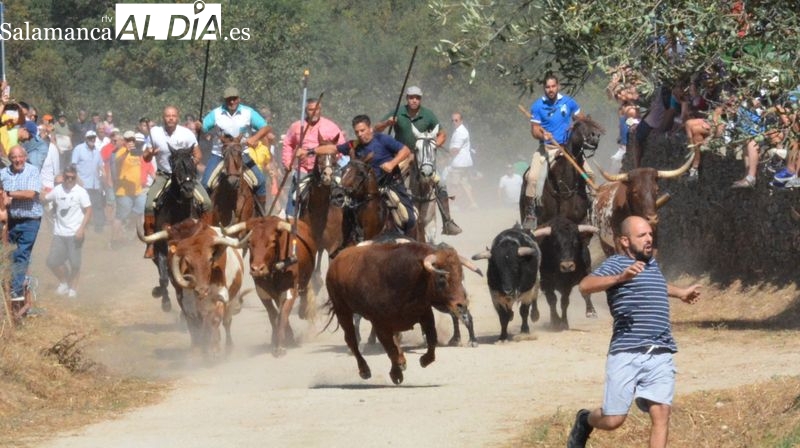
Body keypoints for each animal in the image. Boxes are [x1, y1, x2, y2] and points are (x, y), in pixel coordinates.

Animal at [138, 219, 247, 356]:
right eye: (187, 260)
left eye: (210, 258)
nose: (201, 290)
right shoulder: (184, 301)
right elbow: (193, 325)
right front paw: (196, 350)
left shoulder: (221, 295)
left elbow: (215, 319)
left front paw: (214, 349)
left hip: (232, 299)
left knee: (226, 321)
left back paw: (228, 346)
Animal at [148, 147, 203, 312]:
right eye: (176, 168)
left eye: (193, 166)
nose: (188, 189)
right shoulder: (161, 245)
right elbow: (164, 277)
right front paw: (162, 297)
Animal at [223, 216, 318, 356]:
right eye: (250, 242)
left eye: (272, 241)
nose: (257, 269)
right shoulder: (262, 291)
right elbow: (273, 315)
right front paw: (279, 339)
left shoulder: (290, 290)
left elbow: (283, 314)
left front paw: (280, 346)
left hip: (304, 280)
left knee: (303, 293)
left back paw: (302, 311)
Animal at [324, 242, 482, 384]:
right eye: (442, 277)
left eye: (461, 274)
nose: (461, 305)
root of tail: (336, 261)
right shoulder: (380, 323)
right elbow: (391, 348)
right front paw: (396, 374)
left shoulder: (425, 313)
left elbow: (431, 339)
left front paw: (424, 360)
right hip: (342, 311)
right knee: (351, 340)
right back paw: (365, 370)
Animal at [520, 115, 608, 318]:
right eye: (579, 125)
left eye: (592, 123)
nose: (595, 136)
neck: (564, 185)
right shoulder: (547, 225)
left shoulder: (580, 224)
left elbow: (584, 257)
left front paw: (590, 308)